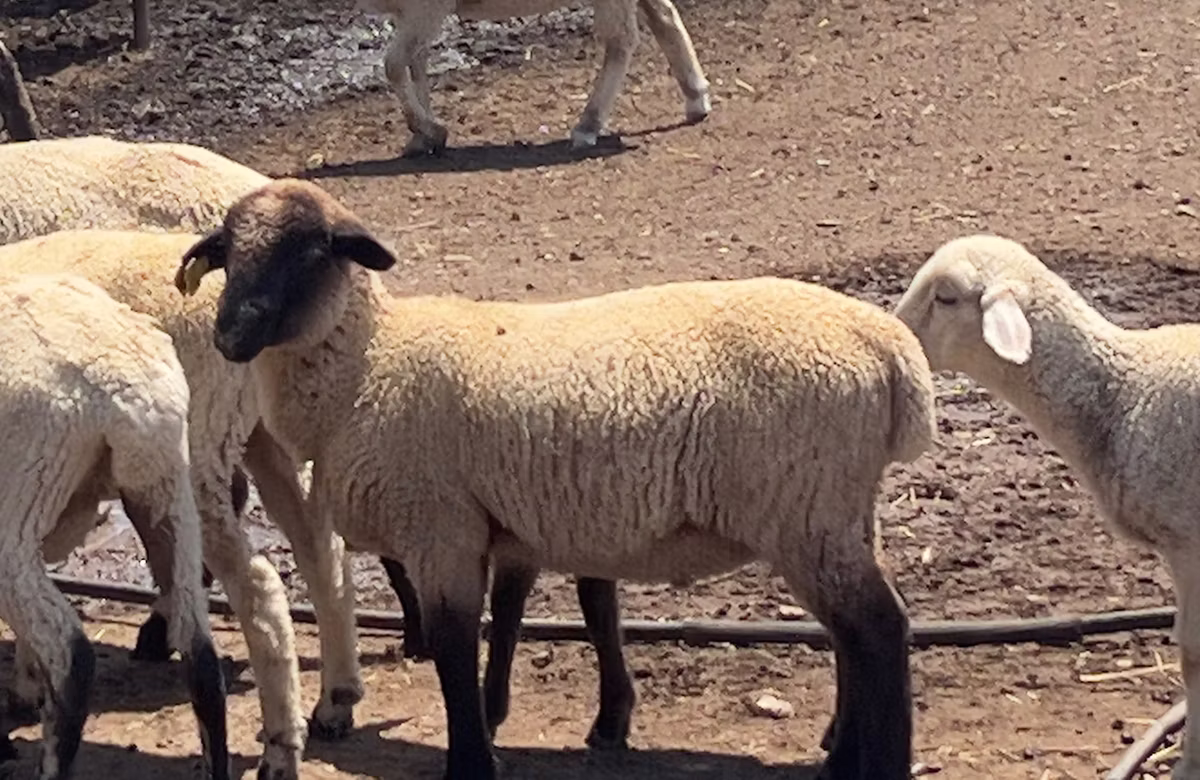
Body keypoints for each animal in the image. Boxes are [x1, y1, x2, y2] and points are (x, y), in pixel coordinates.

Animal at [176, 177, 936, 780]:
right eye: (229, 253)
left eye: (309, 253)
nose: (230, 336)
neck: (368, 360)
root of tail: (889, 351)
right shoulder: (497, 525)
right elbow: (504, 622)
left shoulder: (440, 526)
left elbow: (454, 644)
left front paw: (472, 761)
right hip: (837, 511)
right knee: (854, 635)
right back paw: (841, 757)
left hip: (803, 507)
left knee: (880, 630)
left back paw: (878, 764)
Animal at [357, 0, 711, 156]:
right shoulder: (411, 13)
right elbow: (416, 66)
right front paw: (424, 138)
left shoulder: (425, 9)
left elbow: (393, 66)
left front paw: (430, 131)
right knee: (664, 16)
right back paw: (697, 99)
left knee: (621, 41)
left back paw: (587, 126)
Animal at [893, 234, 1200, 780]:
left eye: (946, 297)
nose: (894, 333)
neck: (1122, 395)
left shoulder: (1188, 543)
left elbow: (1192, 654)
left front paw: (1189, 765)